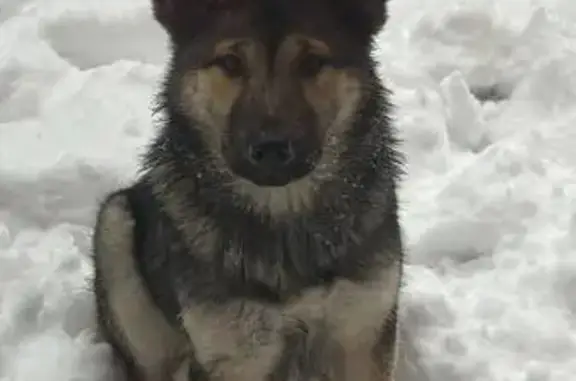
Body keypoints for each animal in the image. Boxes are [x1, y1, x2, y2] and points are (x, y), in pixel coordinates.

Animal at [91, 0, 404, 378]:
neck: (284, 221)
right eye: (230, 63)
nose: (271, 149)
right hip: (115, 226)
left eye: (312, 62)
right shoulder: (235, 352)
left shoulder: (361, 331)